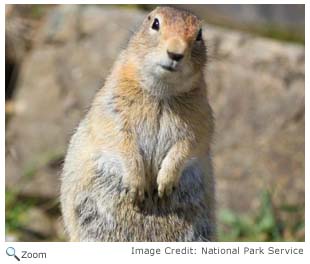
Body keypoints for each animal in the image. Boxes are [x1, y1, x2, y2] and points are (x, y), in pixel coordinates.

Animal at [60, 6, 216, 241]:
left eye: (199, 34)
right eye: (155, 23)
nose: (175, 53)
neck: (162, 92)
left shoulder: (201, 120)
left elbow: (187, 145)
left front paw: (164, 185)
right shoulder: (113, 109)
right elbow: (121, 140)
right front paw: (137, 186)